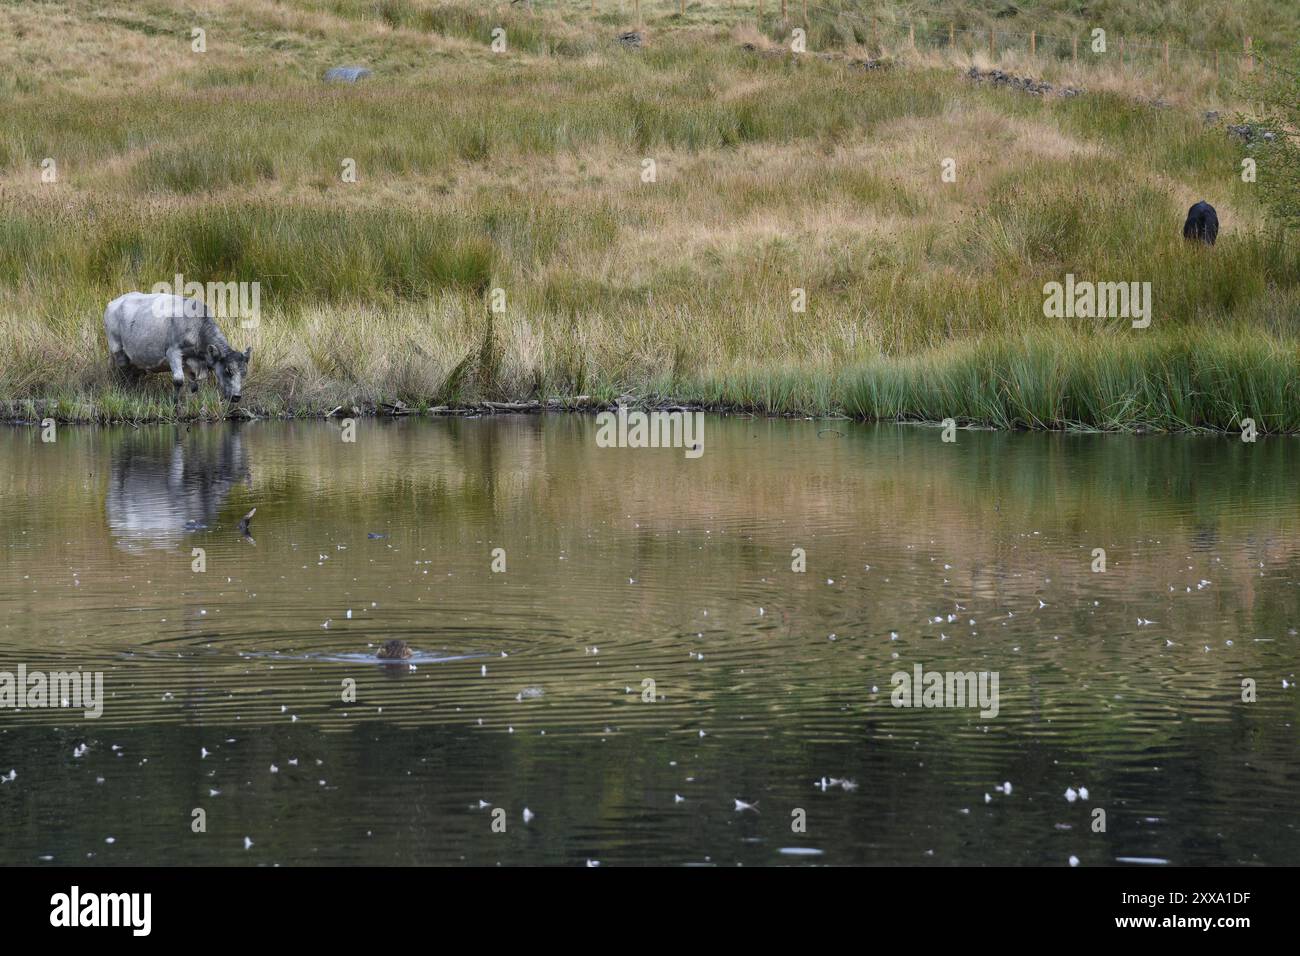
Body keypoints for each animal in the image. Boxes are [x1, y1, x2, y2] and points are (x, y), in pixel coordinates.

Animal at [104, 292, 251, 406]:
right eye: (227, 371)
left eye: (244, 373)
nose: (237, 396)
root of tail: (114, 302)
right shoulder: (173, 352)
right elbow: (179, 380)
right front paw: (175, 403)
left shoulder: (191, 360)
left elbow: (194, 385)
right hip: (117, 349)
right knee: (123, 373)